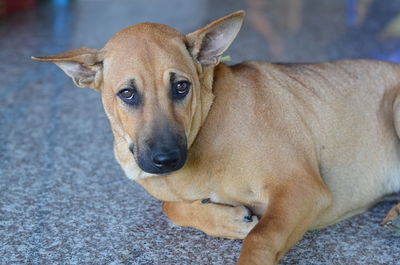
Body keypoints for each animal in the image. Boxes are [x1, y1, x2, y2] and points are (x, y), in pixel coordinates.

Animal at [32, 10, 400, 264]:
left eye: (182, 87)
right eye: (127, 93)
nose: (166, 159)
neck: (206, 127)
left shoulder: (301, 188)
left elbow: (260, 239)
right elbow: (170, 206)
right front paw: (230, 218)